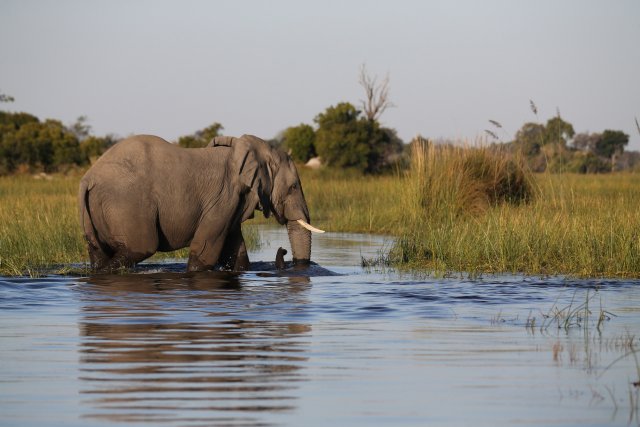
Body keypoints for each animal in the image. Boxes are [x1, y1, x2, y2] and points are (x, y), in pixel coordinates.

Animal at [77, 135, 322, 274]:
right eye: (293, 187)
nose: (283, 250)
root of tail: (88, 178)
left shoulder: (233, 202)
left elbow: (236, 252)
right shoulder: (224, 196)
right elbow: (204, 249)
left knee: (100, 254)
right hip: (127, 204)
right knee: (140, 247)